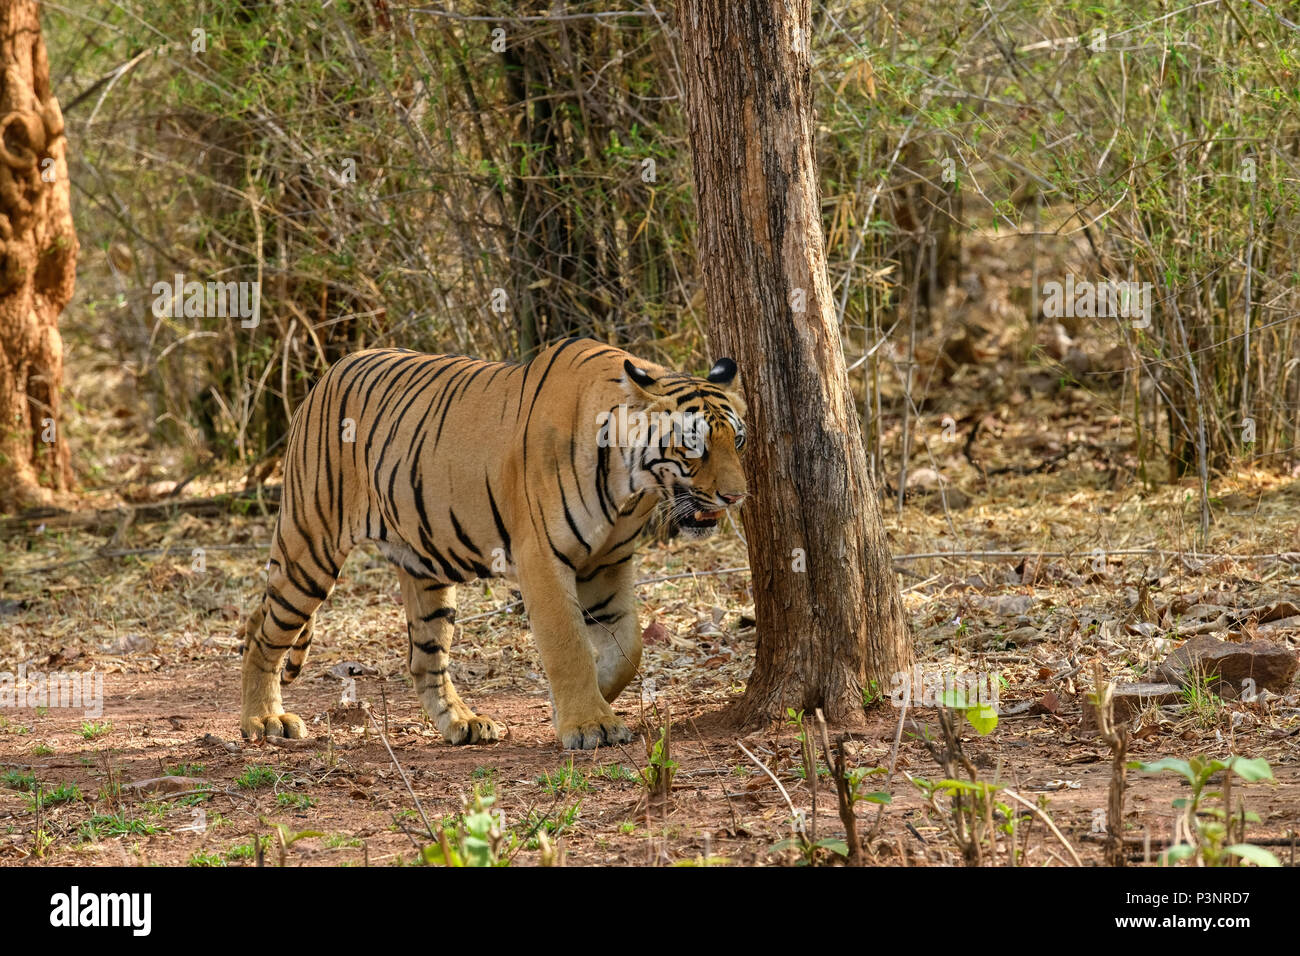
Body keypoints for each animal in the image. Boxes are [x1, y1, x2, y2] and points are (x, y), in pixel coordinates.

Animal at [239, 340, 748, 749]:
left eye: (738, 441)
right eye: (694, 445)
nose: (736, 496)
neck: (632, 487)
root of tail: (330, 372)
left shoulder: (608, 564)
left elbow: (628, 648)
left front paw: (580, 706)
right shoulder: (544, 559)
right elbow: (569, 646)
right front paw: (590, 725)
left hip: (426, 571)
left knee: (424, 660)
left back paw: (463, 724)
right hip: (310, 546)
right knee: (263, 631)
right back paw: (264, 720)